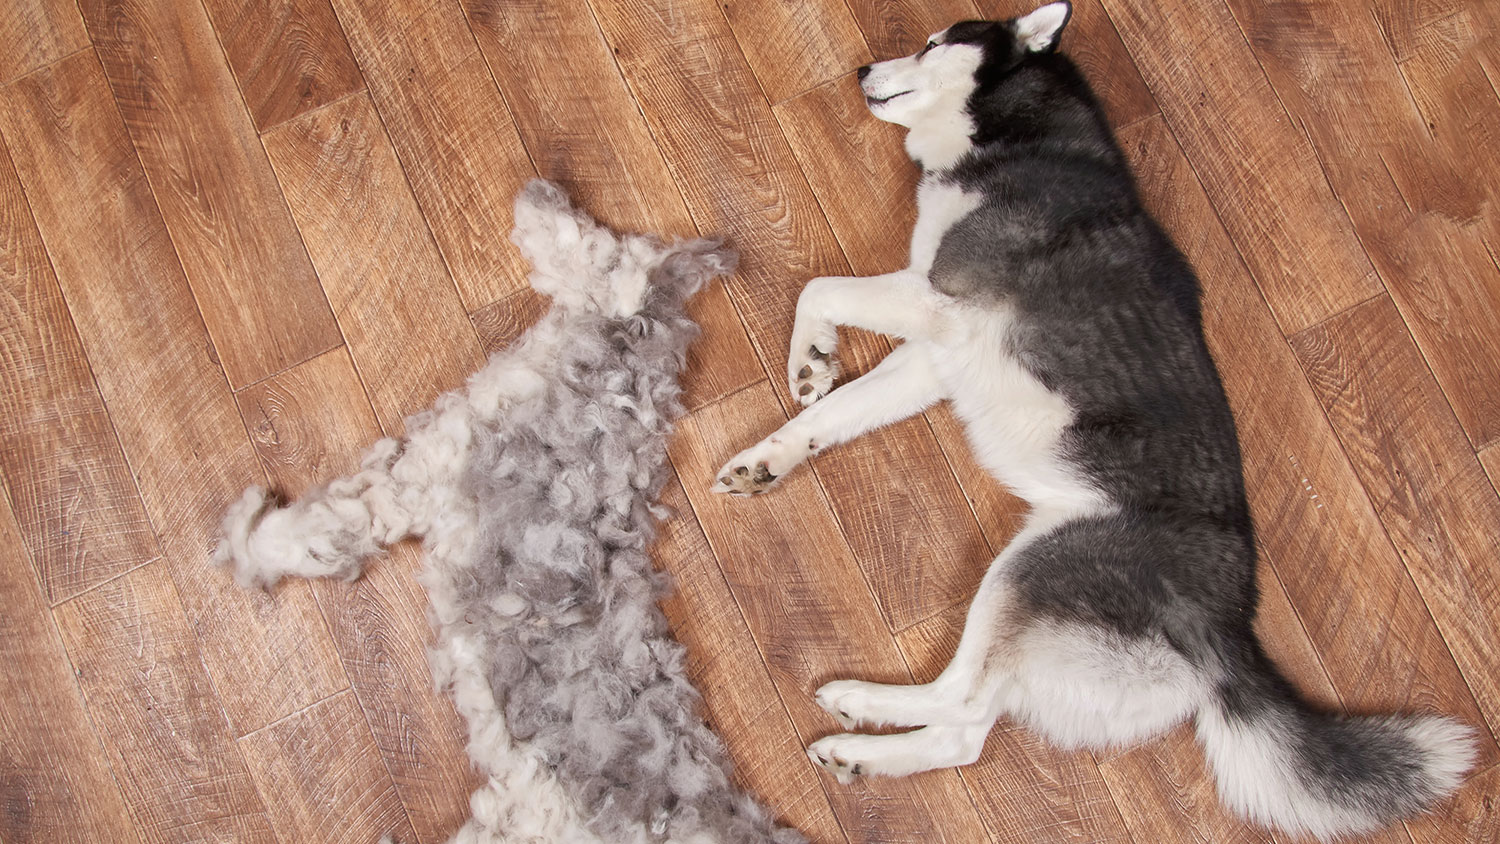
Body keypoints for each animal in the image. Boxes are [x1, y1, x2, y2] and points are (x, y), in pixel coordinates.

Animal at [714, 4, 1476, 839]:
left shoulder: (943, 299)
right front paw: (772, 453)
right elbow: (837, 409)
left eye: (936, 41)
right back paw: (863, 748)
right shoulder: (936, 356)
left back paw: (861, 706)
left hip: (1033, 569)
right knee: (965, 734)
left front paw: (809, 355)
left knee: (961, 701)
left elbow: (818, 288)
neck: (1024, 138)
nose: (860, 71)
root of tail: (1230, 632)